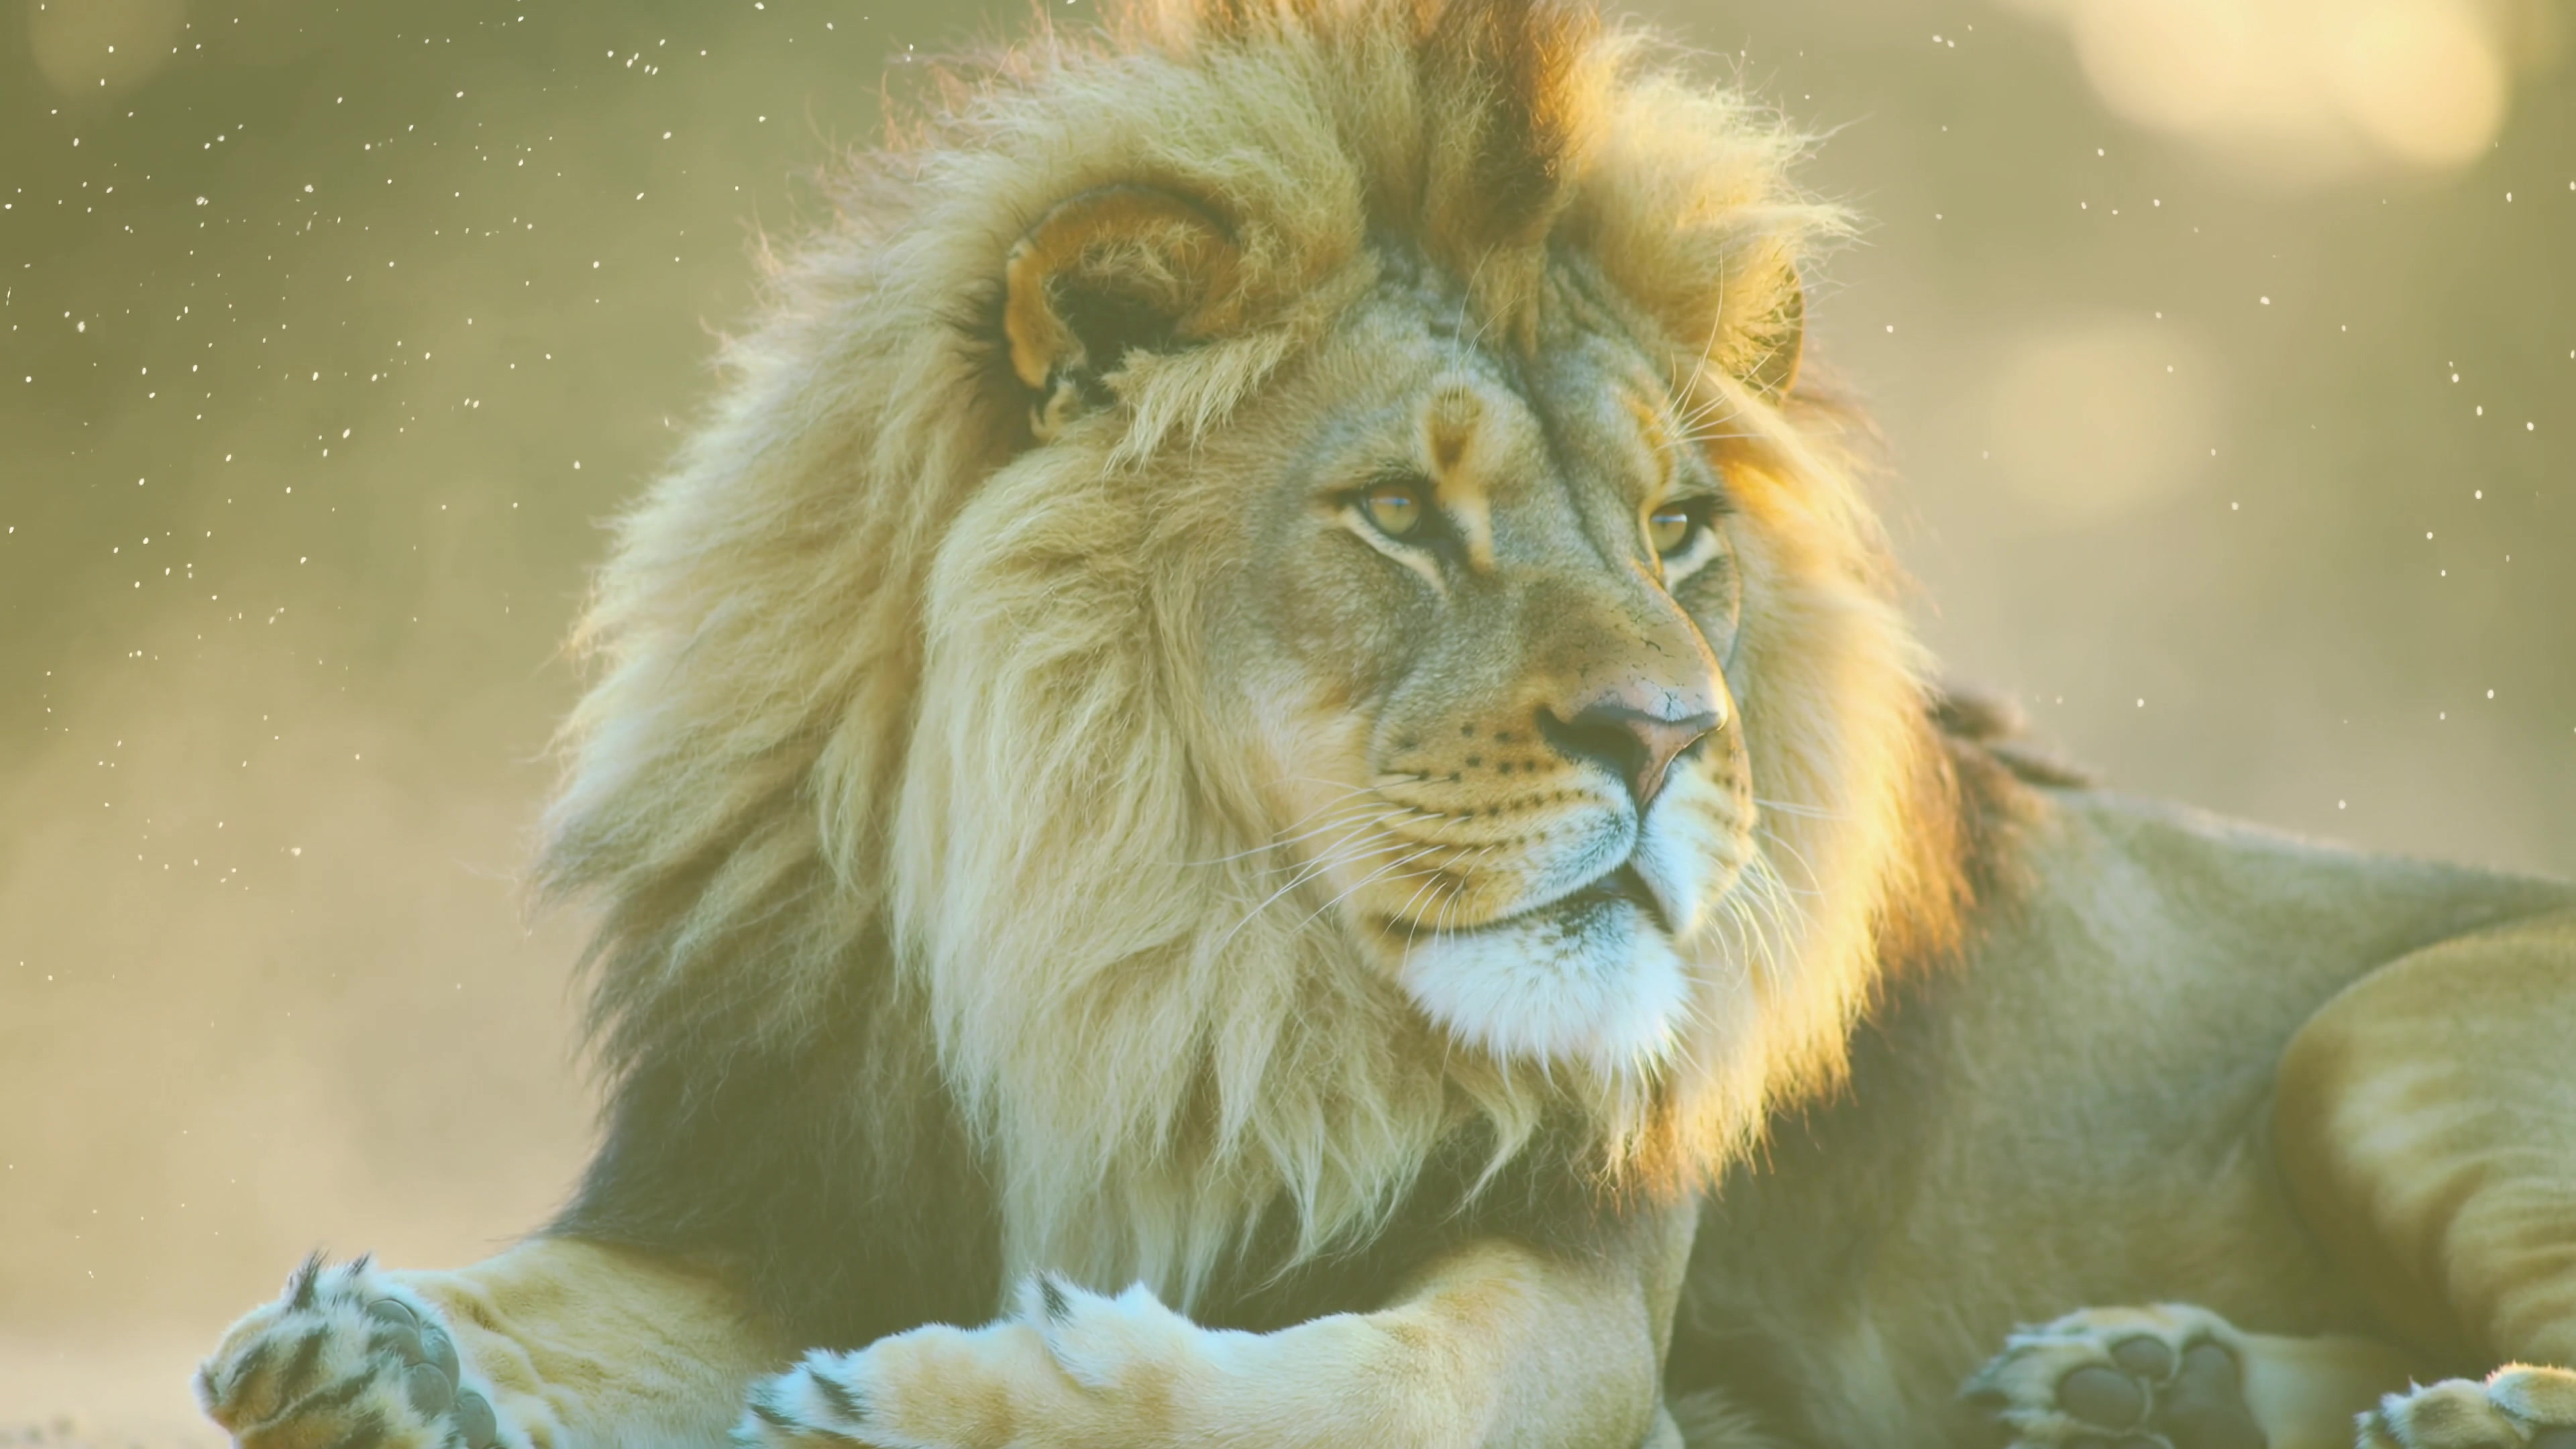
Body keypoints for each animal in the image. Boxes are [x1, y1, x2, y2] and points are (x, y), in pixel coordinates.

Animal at [193, 2, 2576, 1447]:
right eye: (1400, 520)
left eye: (1679, 528)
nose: (1670, 741)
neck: (1143, 945)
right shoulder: (792, 1187)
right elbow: (573, 1298)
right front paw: (375, 1348)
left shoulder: (1591, 1311)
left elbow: (1344, 1389)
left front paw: (947, 1396)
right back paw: (2142, 1381)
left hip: (2384, 1034)